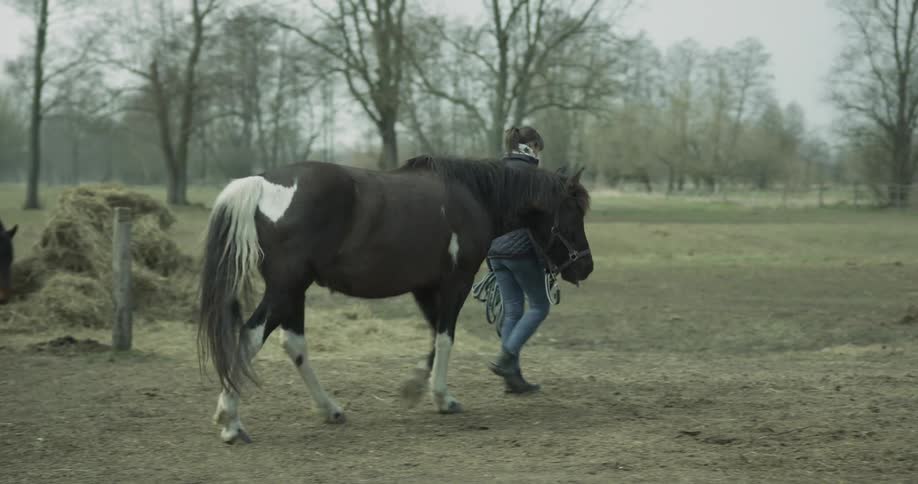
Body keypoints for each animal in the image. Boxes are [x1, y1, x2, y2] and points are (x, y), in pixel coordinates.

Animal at [197, 155, 593, 444]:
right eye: (574, 211)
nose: (586, 266)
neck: (471, 197)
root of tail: (261, 183)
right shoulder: (456, 282)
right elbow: (446, 337)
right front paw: (442, 397)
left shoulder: (424, 287)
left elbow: (434, 336)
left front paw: (415, 387)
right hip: (285, 288)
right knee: (250, 336)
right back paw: (231, 422)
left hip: (294, 291)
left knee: (293, 344)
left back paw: (329, 409)